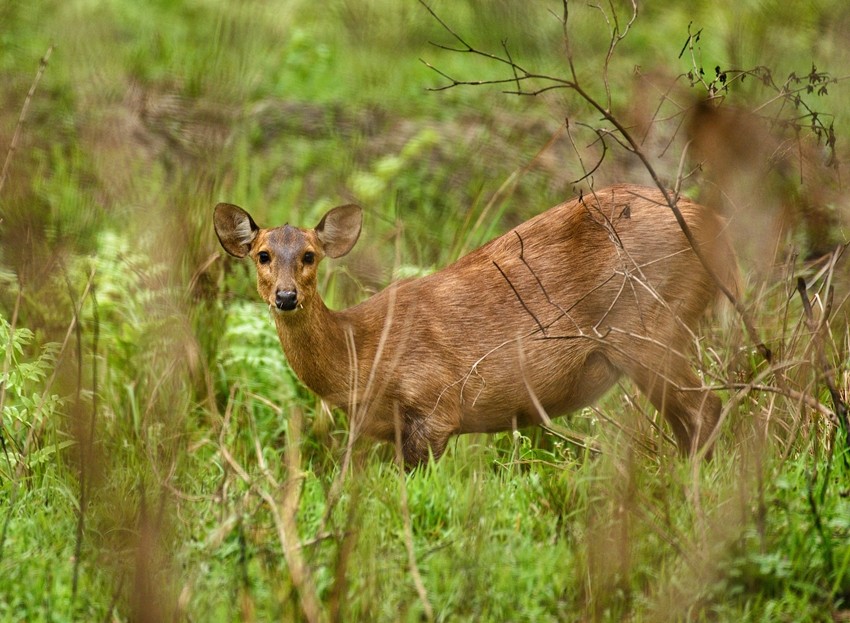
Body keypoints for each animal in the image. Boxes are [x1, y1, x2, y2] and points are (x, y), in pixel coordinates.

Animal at [214, 184, 736, 467]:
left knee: (707, 411)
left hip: (650, 324)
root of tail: (714, 222)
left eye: (309, 255)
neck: (363, 351)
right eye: (263, 255)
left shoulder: (435, 404)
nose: (286, 297)